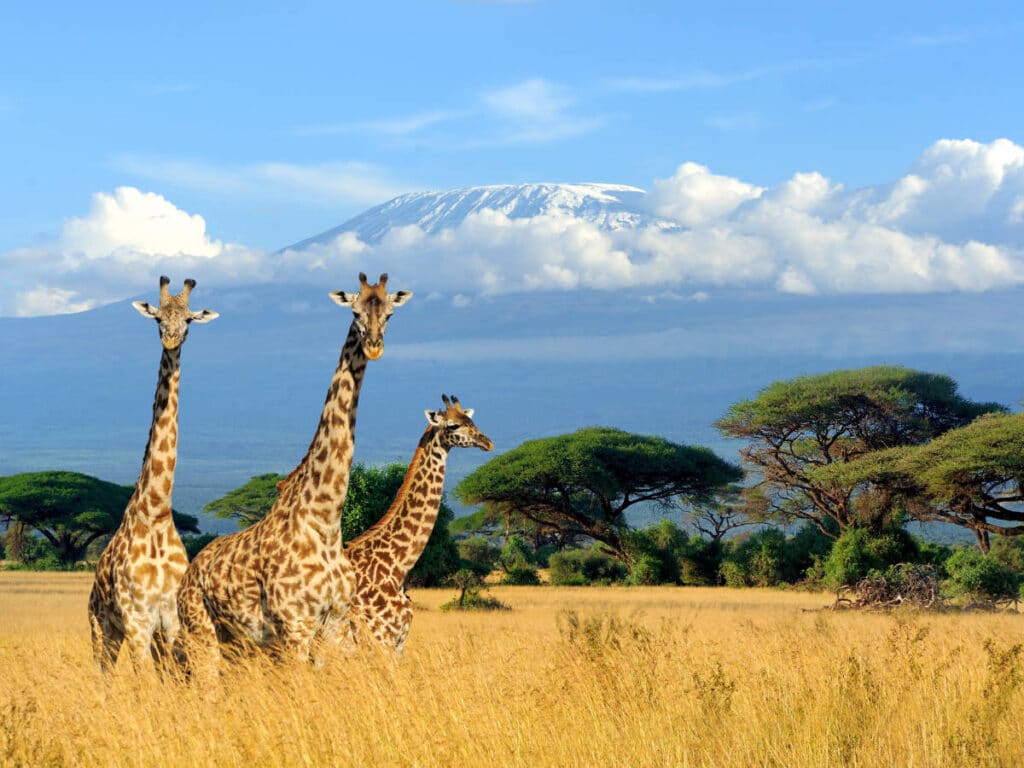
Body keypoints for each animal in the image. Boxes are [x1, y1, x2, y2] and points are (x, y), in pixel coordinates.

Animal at [88, 276, 219, 674]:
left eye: (188, 320)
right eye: (158, 318)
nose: (171, 340)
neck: (157, 512)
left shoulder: (171, 621)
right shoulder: (137, 620)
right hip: (101, 628)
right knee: (103, 675)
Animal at [175, 273, 411, 670]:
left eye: (390, 314)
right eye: (355, 311)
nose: (375, 347)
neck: (325, 520)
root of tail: (189, 573)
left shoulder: (335, 625)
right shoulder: (295, 626)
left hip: (238, 643)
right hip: (201, 631)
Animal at [345, 395, 493, 654]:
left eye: (472, 421)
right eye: (453, 425)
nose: (487, 442)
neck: (397, 567)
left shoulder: (397, 643)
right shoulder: (379, 639)